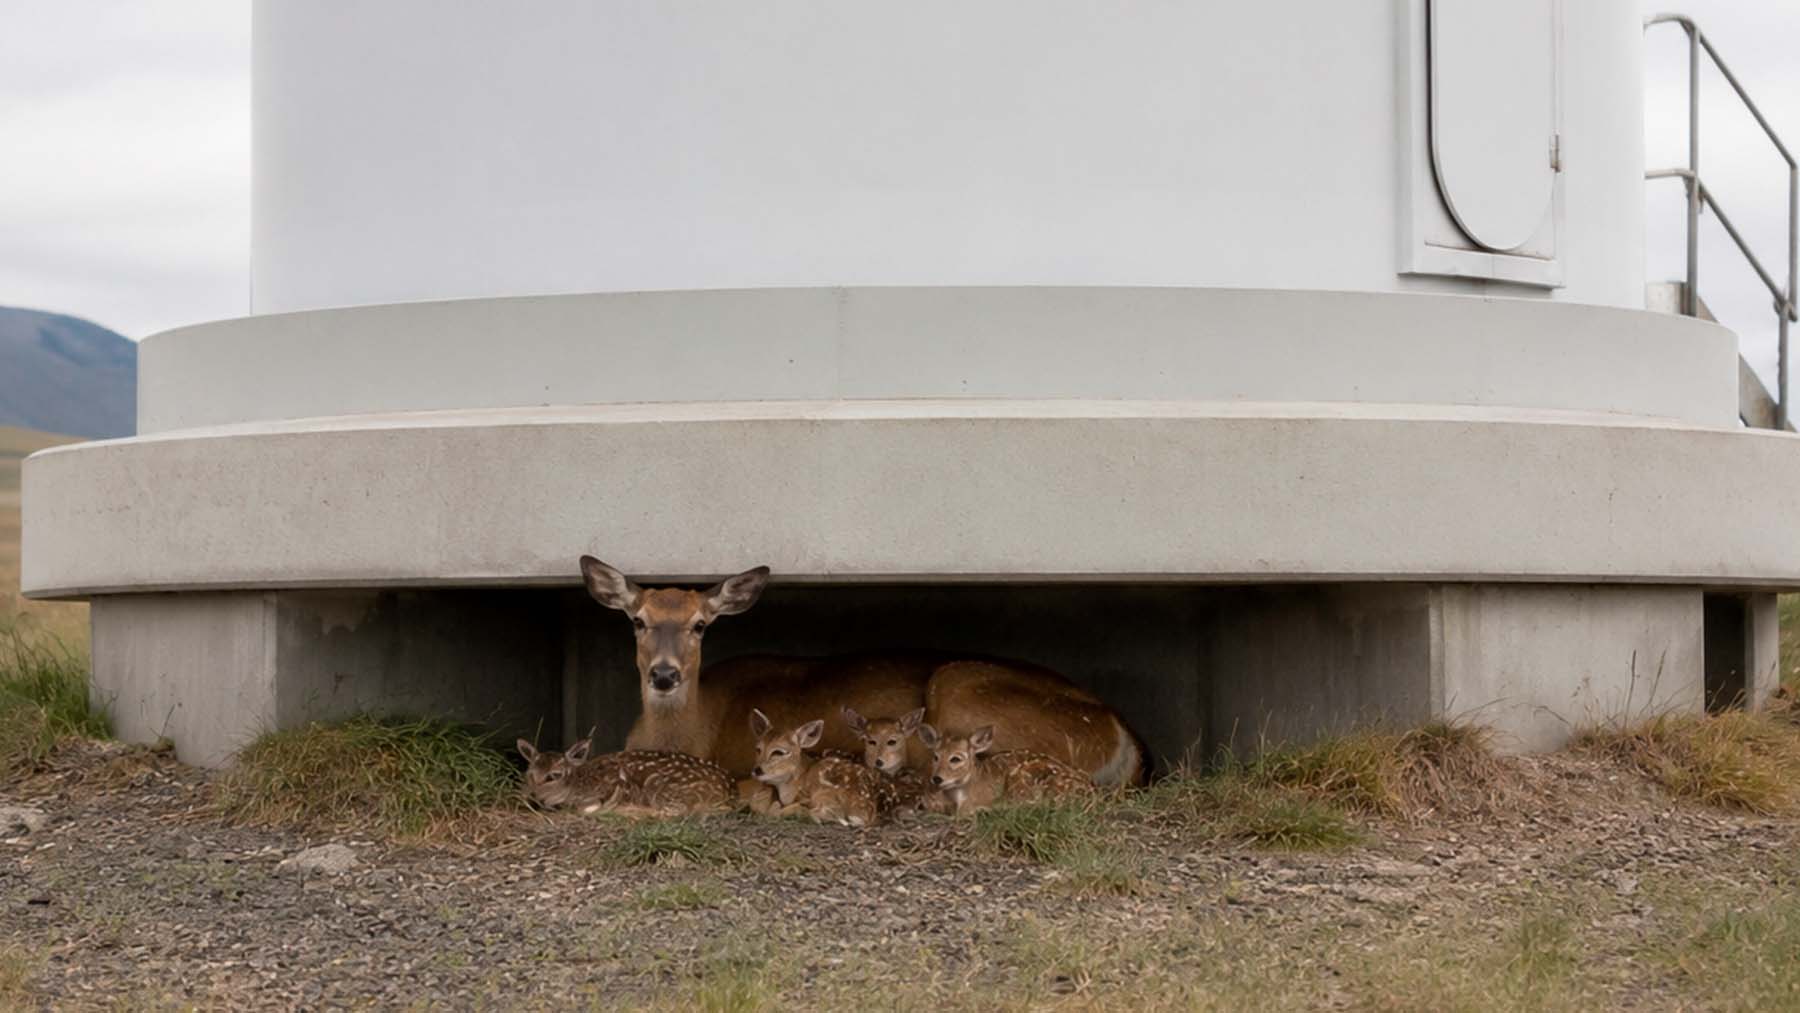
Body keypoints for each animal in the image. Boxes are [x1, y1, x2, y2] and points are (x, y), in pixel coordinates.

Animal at [516, 738, 735, 818]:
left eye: (553, 776)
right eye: (529, 775)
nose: (533, 798)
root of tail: (731, 791)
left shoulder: (609, 786)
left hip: (663, 787)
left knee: (674, 811)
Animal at [578, 556, 1147, 786]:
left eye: (700, 624)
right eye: (637, 619)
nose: (665, 675)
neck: (694, 733)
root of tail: (1124, 737)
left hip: (961, 685)